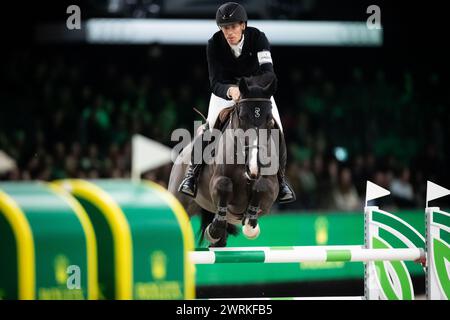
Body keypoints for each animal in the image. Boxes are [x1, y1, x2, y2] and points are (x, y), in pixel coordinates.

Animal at [169, 74, 282, 246]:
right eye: (242, 118)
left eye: (269, 121)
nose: (254, 169)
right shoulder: (217, 181)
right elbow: (225, 184)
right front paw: (212, 230)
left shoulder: (271, 190)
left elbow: (262, 186)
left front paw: (250, 224)